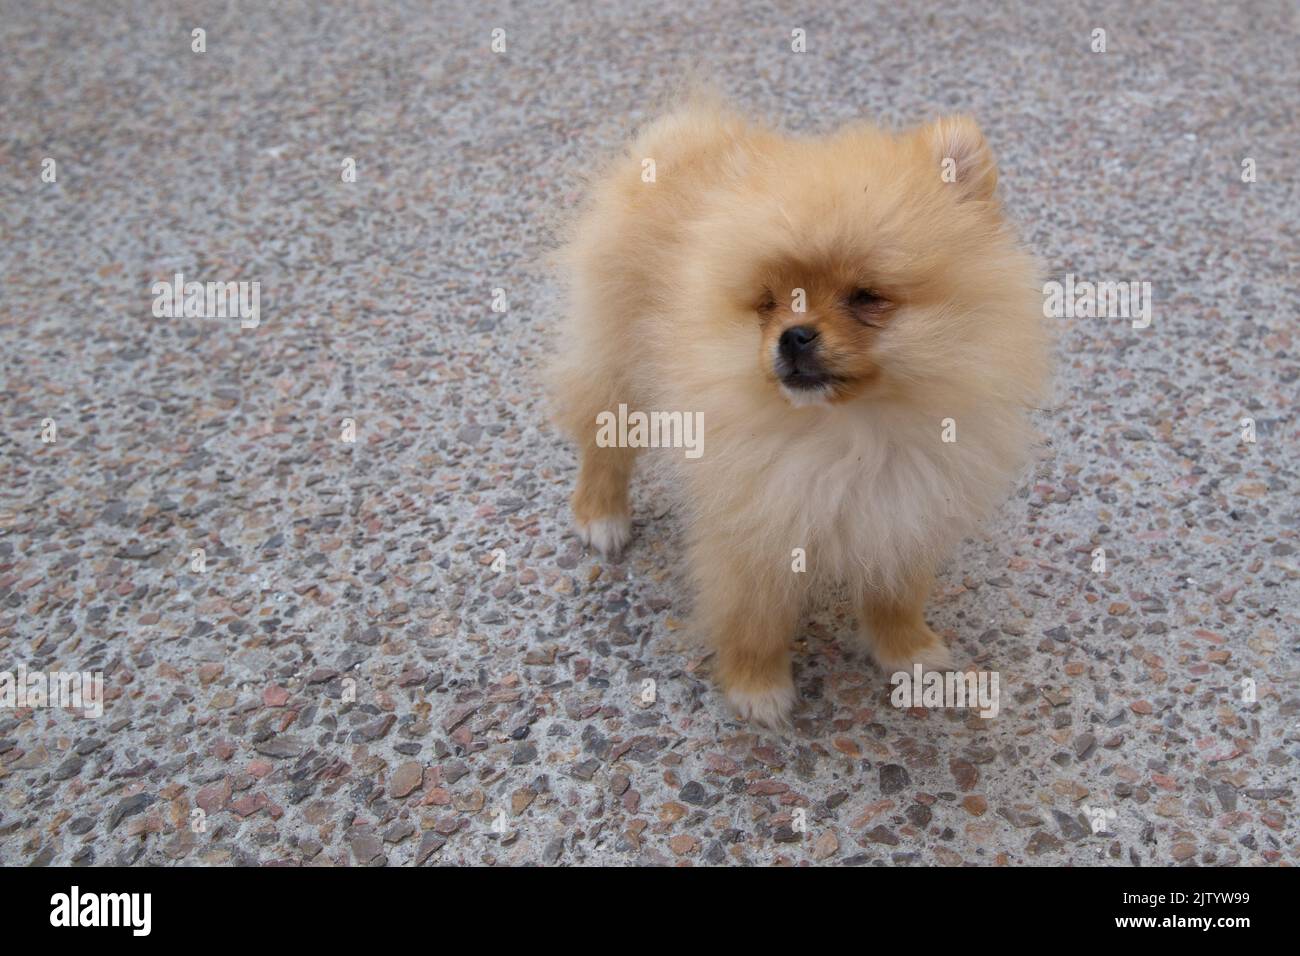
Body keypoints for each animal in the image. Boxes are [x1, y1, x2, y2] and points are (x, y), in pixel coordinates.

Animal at [548, 95, 1045, 723]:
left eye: (867, 298)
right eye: (767, 303)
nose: (794, 335)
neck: (853, 431)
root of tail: (690, 136)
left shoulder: (907, 502)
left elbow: (897, 593)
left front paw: (908, 652)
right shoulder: (753, 520)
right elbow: (753, 616)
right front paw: (757, 688)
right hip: (614, 352)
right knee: (603, 436)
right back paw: (602, 515)